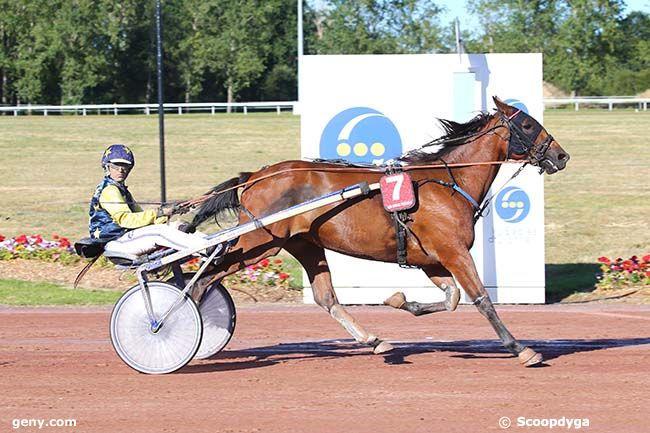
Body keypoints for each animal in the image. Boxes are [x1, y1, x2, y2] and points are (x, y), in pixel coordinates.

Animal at [187, 97, 568, 364]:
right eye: (529, 125)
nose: (562, 156)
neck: (449, 181)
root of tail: (255, 176)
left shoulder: (431, 259)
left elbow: (451, 299)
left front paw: (400, 301)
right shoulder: (454, 252)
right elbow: (480, 299)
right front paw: (520, 348)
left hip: (303, 245)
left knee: (326, 298)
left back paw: (373, 339)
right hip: (259, 243)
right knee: (205, 278)